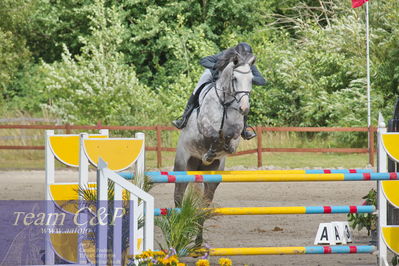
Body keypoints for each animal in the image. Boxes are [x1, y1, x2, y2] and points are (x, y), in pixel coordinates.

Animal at [173, 53, 255, 243]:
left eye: (251, 80)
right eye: (235, 78)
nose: (244, 108)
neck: (225, 103)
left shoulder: (235, 133)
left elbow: (229, 138)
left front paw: (221, 148)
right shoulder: (204, 128)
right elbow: (214, 136)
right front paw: (211, 150)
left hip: (213, 175)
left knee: (204, 205)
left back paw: (198, 240)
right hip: (182, 166)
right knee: (178, 198)